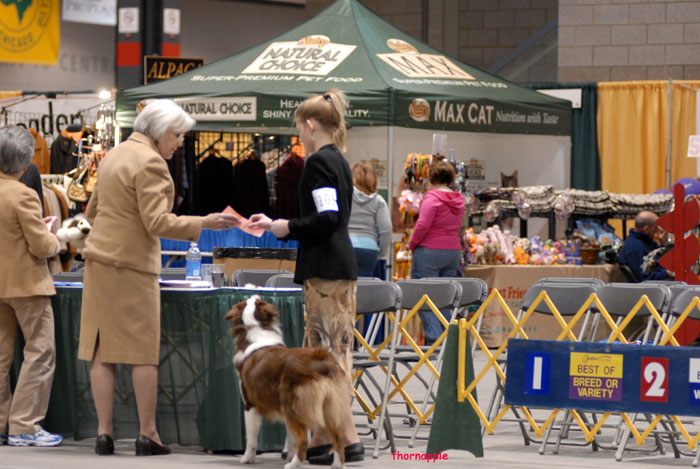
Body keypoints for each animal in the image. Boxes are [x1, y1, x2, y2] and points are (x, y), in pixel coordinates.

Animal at [224, 295, 350, 469]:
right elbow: (290, 440)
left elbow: (251, 439)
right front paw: (288, 456)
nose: (256, 295)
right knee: (338, 436)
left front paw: (247, 458)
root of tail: (319, 360)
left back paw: (294, 465)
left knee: (303, 440)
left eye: (256, 301)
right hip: (328, 406)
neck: (257, 328)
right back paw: (337, 464)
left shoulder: (250, 405)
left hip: (294, 406)